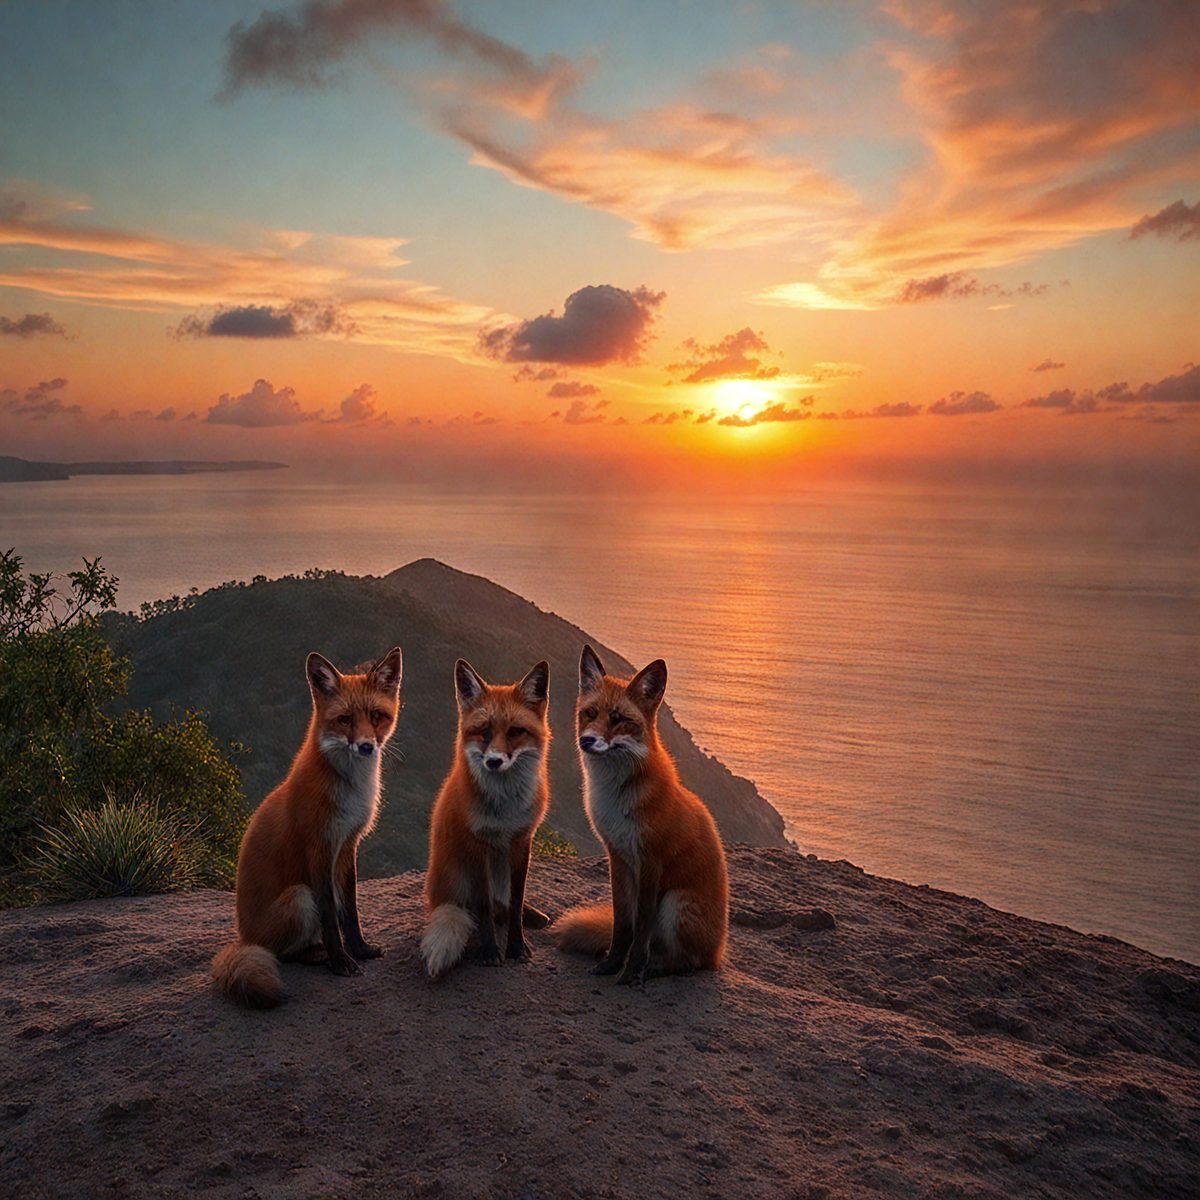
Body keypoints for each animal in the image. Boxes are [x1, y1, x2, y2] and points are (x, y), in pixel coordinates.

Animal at [211, 646, 403, 1008]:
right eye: (345, 720)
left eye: (377, 716)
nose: (367, 747)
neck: (351, 790)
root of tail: (244, 938)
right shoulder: (319, 848)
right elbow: (330, 916)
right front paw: (341, 962)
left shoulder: (347, 846)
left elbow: (350, 911)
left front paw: (359, 950)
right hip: (300, 897)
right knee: (283, 953)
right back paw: (319, 956)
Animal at [421, 658, 552, 979]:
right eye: (483, 731)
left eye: (516, 731)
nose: (494, 761)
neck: (504, 810)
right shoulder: (477, 845)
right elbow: (484, 908)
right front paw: (491, 951)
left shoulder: (522, 841)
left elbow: (516, 901)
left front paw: (516, 947)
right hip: (460, 876)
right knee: (483, 909)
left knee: (505, 905)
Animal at [556, 645, 729, 986]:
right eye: (590, 714)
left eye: (620, 719)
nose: (586, 740)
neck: (616, 799)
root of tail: (718, 951)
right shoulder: (619, 857)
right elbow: (624, 925)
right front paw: (611, 964)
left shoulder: (652, 862)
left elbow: (641, 929)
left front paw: (630, 973)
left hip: (675, 904)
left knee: (687, 962)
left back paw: (655, 969)